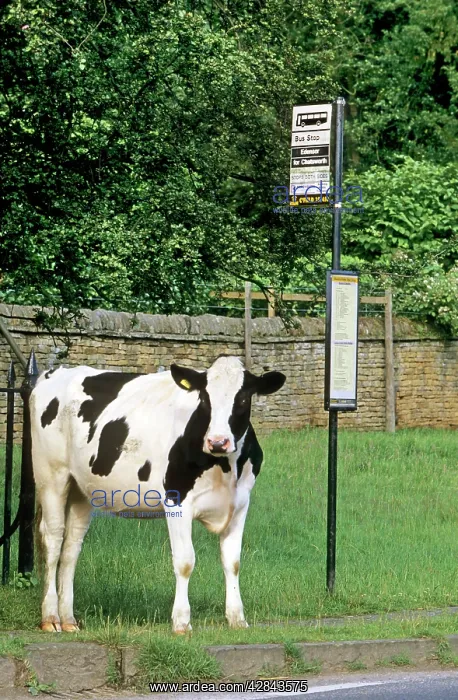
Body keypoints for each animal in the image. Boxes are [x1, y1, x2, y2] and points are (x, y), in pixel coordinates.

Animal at [30, 355, 285, 633]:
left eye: (242, 399)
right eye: (204, 399)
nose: (218, 442)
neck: (225, 467)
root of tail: (54, 373)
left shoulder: (240, 504)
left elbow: (233, 562)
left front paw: (237, 618)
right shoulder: (177, 501)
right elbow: (185, 561)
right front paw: (182, 622)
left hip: (81, 489)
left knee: (71, 547)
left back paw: (68, 620)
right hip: (52, 477)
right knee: (53, 540)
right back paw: (51, 618)